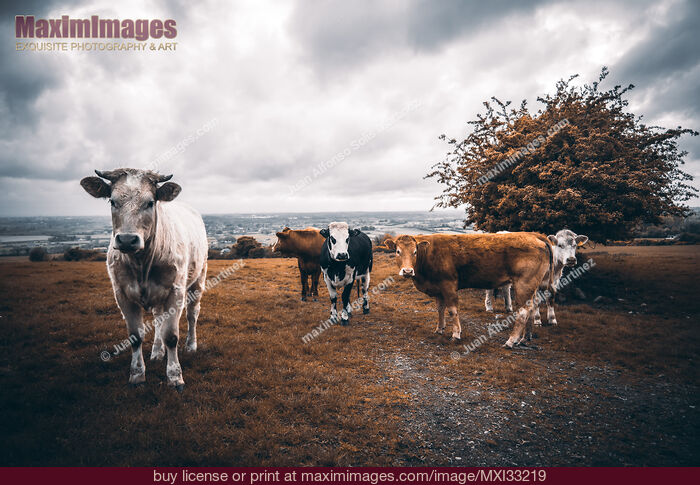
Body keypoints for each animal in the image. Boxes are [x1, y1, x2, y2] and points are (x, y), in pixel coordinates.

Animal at [80, 168, 208, 390]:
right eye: (112, 201)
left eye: (149, 202)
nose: (127, 240)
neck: (142, 264)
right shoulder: (122, 294)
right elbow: (135, 336)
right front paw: (137, 374)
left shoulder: (175, 292)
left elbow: (171, 336)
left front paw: (175, 376)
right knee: (159, 319)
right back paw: (157, 351)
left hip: (198, 279)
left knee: (192, 314)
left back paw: (191, 345)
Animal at [383, 233, 553, 348]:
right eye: (398, 251)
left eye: (415, 252)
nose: (407, 271)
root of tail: (534, 235)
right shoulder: (438, 288)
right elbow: (440, 309)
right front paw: (439, 329)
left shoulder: (448, 285)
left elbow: (452, 310)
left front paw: (456, 334)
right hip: (532, 285)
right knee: (532, 307)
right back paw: (526, 337)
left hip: (524, 283)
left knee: (523, 311)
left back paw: (511, 341)